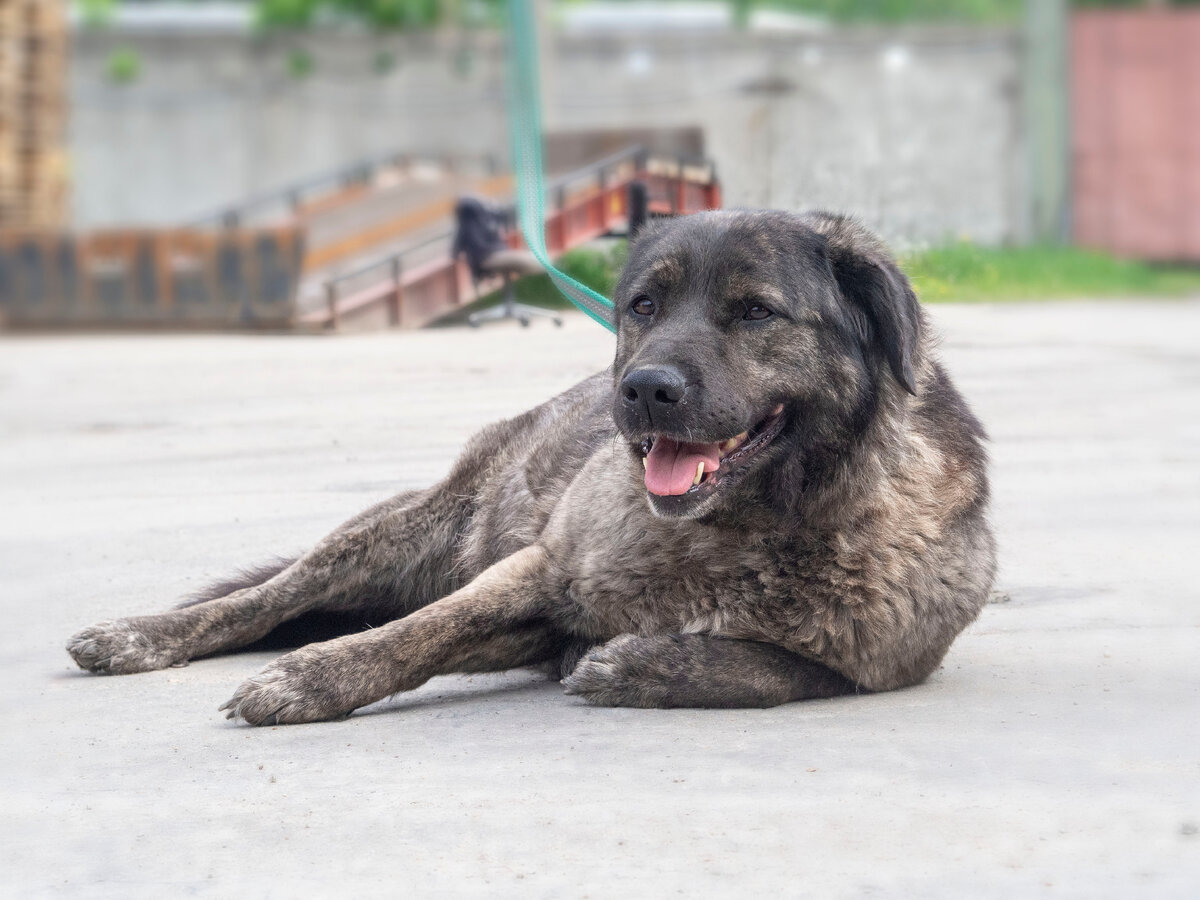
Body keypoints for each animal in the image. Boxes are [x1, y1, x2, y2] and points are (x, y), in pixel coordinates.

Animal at [63, 211, 993, 724]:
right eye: (642, 306)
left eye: (757, 312)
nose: (642, 389)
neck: (746, 532)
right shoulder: (537, 569)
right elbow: (413, 633)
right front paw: (311, 677)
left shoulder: (880, 663)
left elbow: (778, 670)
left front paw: (648, 667)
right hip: (395, 533)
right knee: (269, 600)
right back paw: (144, 636)